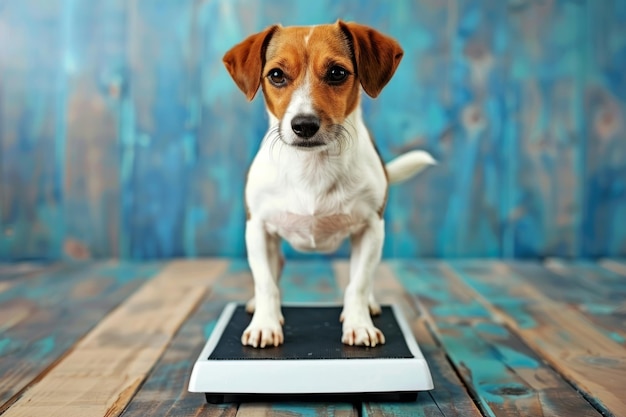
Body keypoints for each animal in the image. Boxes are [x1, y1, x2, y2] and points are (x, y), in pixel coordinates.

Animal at [222, 22, 432, 348]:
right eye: (276, 75)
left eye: (337, 72)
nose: (304, 125)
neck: (312, 166)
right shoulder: (257, 229)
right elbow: (266, 283)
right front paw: (265, 324)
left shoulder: (371, 229)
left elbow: (358, 283)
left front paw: (359, 324)